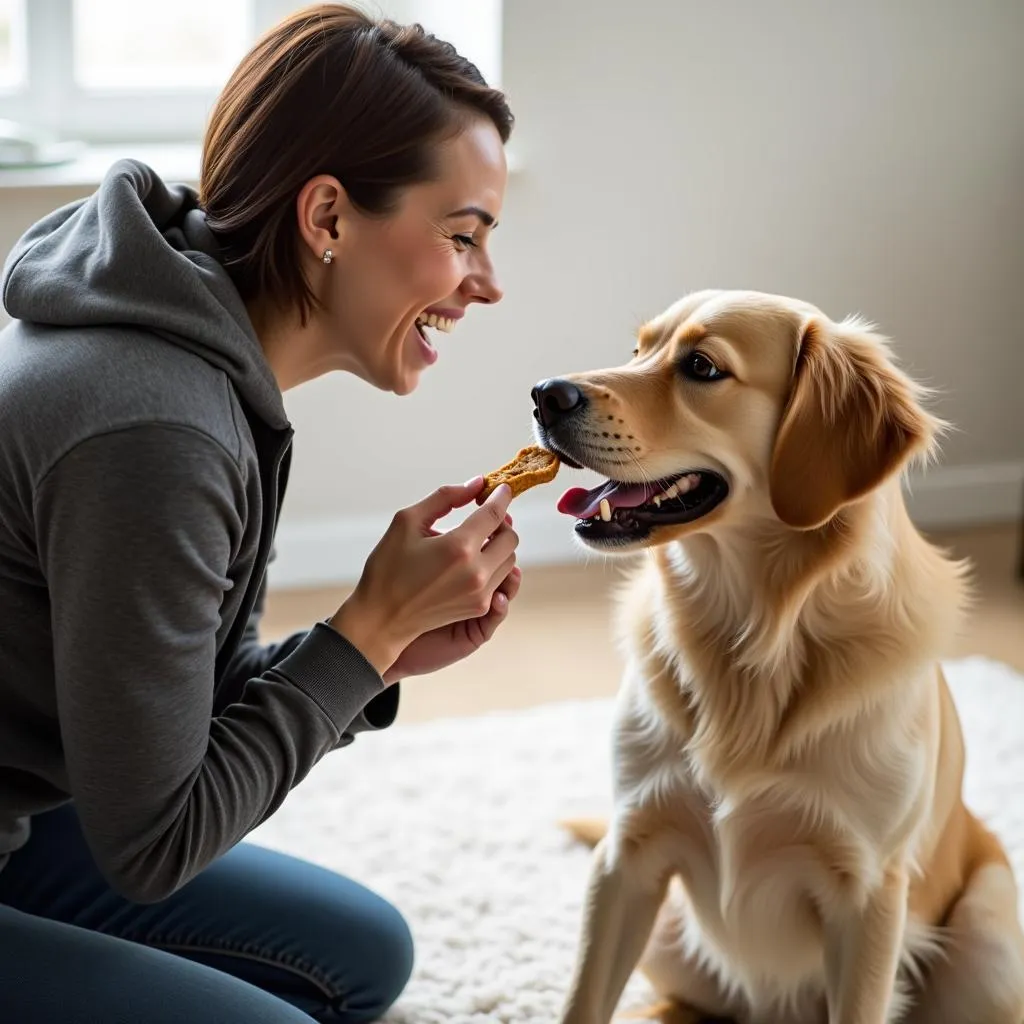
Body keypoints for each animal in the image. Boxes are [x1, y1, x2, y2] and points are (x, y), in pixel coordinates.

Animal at [532, 290, 1024, 1024]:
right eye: (638, 349)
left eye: (702, 367)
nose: (544, 394)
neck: (755, 633)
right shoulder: (629, 855)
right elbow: (583, 1001)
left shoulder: (867, 894)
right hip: (669, 938)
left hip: (989, 949)